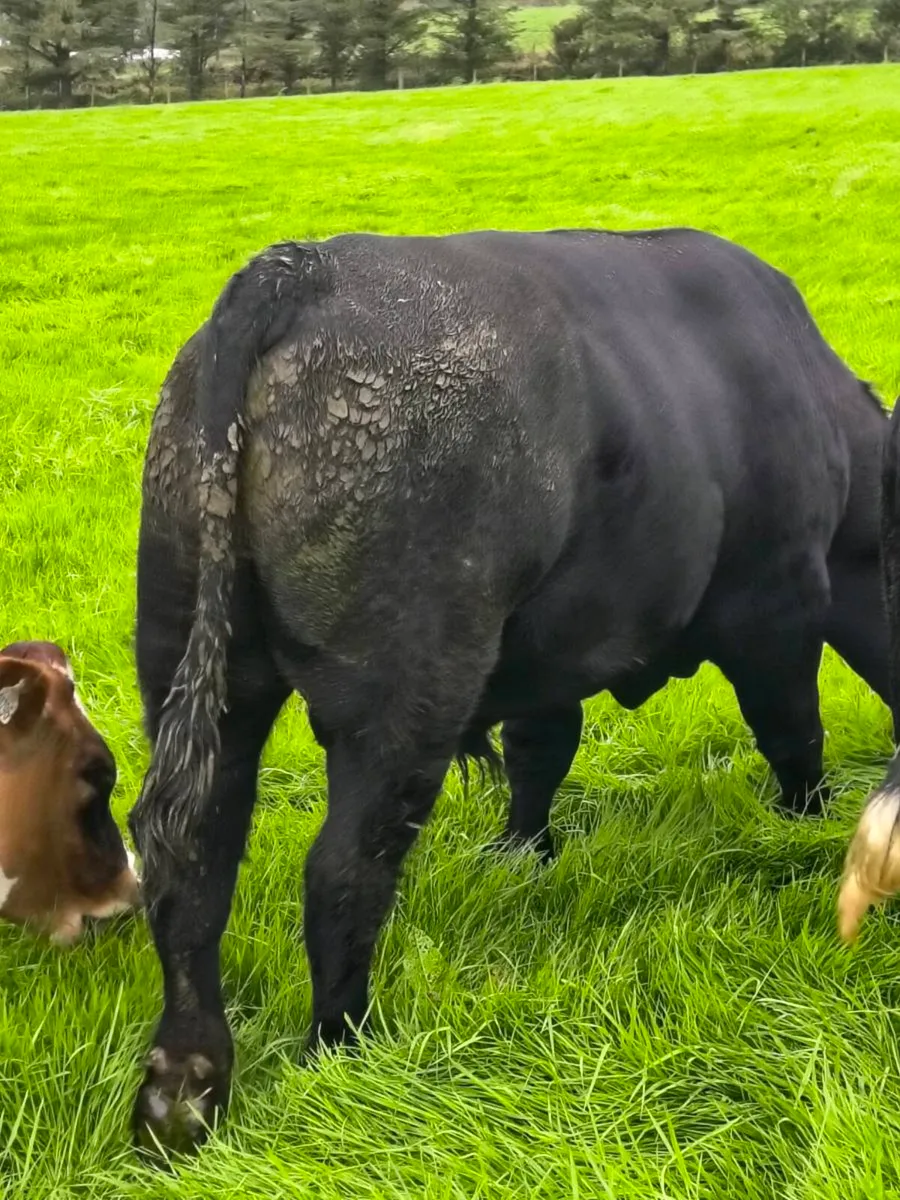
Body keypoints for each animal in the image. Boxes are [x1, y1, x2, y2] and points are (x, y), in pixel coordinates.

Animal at [128, 227, 890, 1159]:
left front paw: (525, 853)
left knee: (194, 858)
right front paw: (807, 821)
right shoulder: (776, 606)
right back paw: (343, 1047)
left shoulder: (550, 652)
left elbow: (540, 752)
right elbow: (792, 730)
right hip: (405, 688)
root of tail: (301, 268)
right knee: (343, 869)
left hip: (194, 661)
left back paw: (183, 1089)